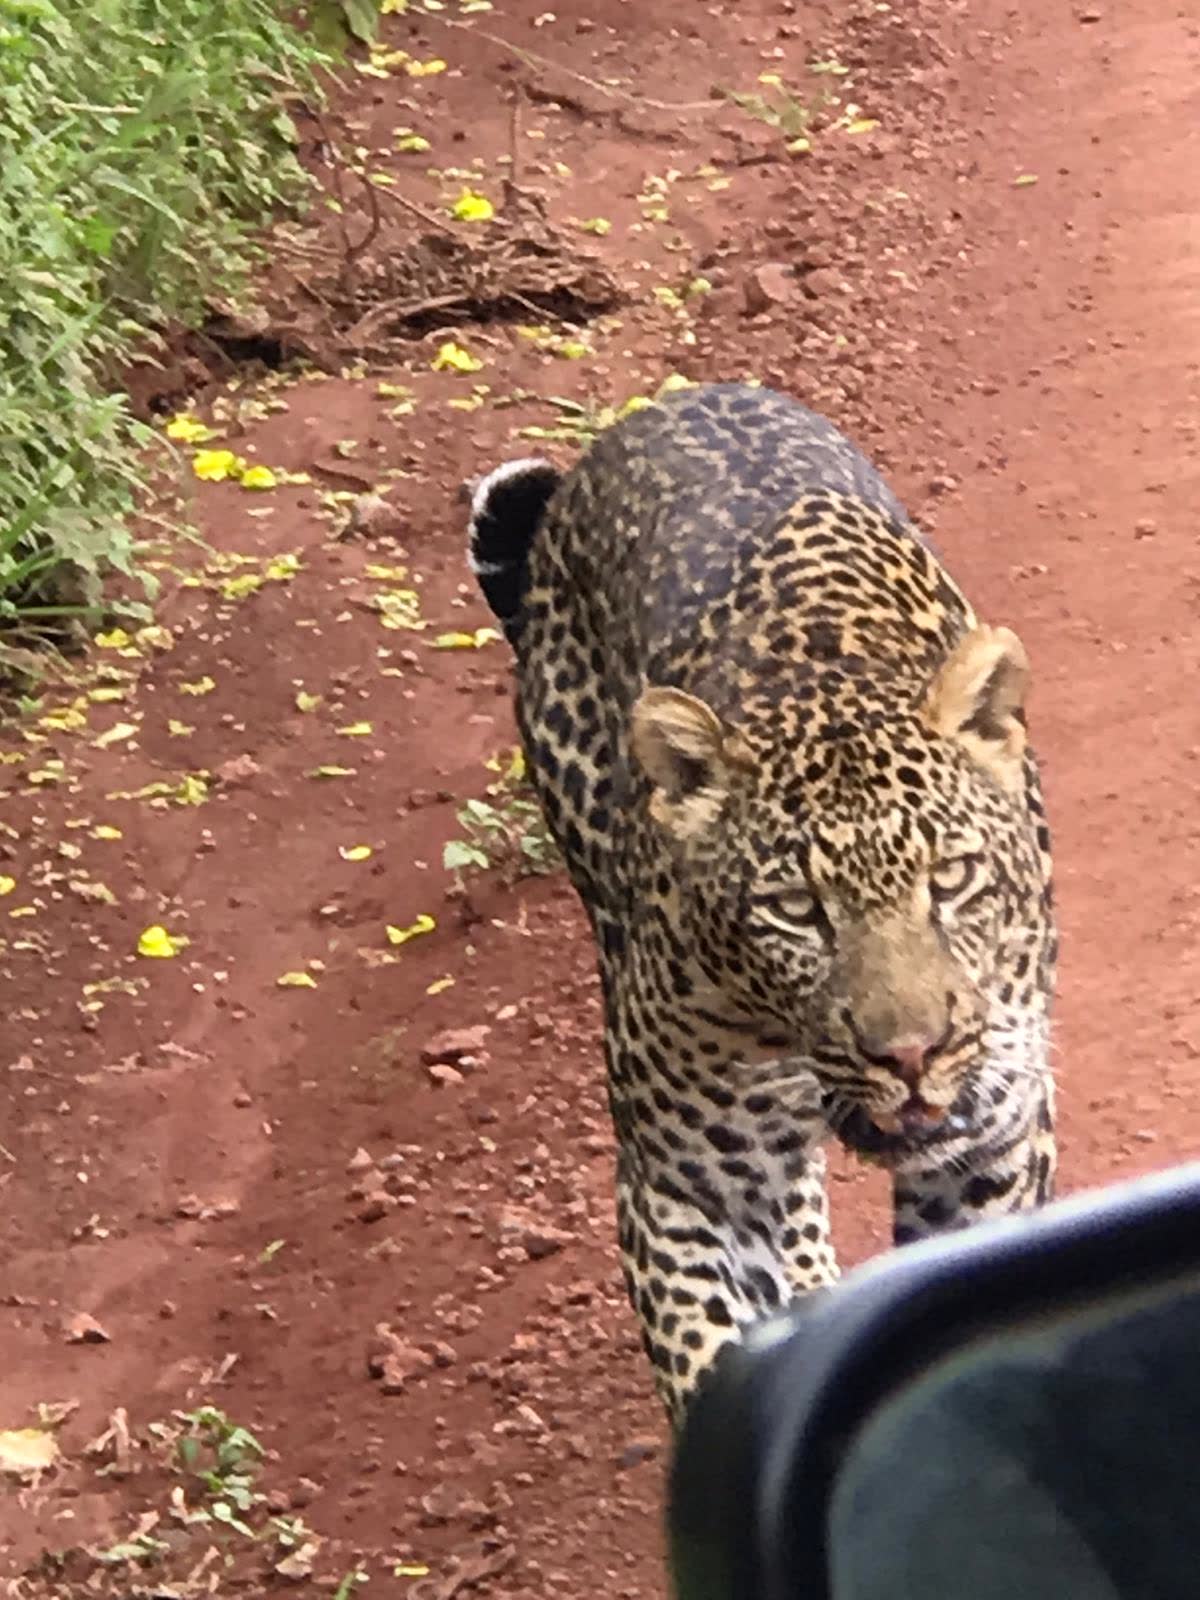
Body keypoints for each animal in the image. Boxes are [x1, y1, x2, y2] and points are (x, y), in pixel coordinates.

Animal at [466, 382, 1057, 1422]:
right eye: (795, 909)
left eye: (951, 879)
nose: (911, 1055)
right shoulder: (692, 1182)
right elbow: (708, 1351)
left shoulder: (990, 1146)